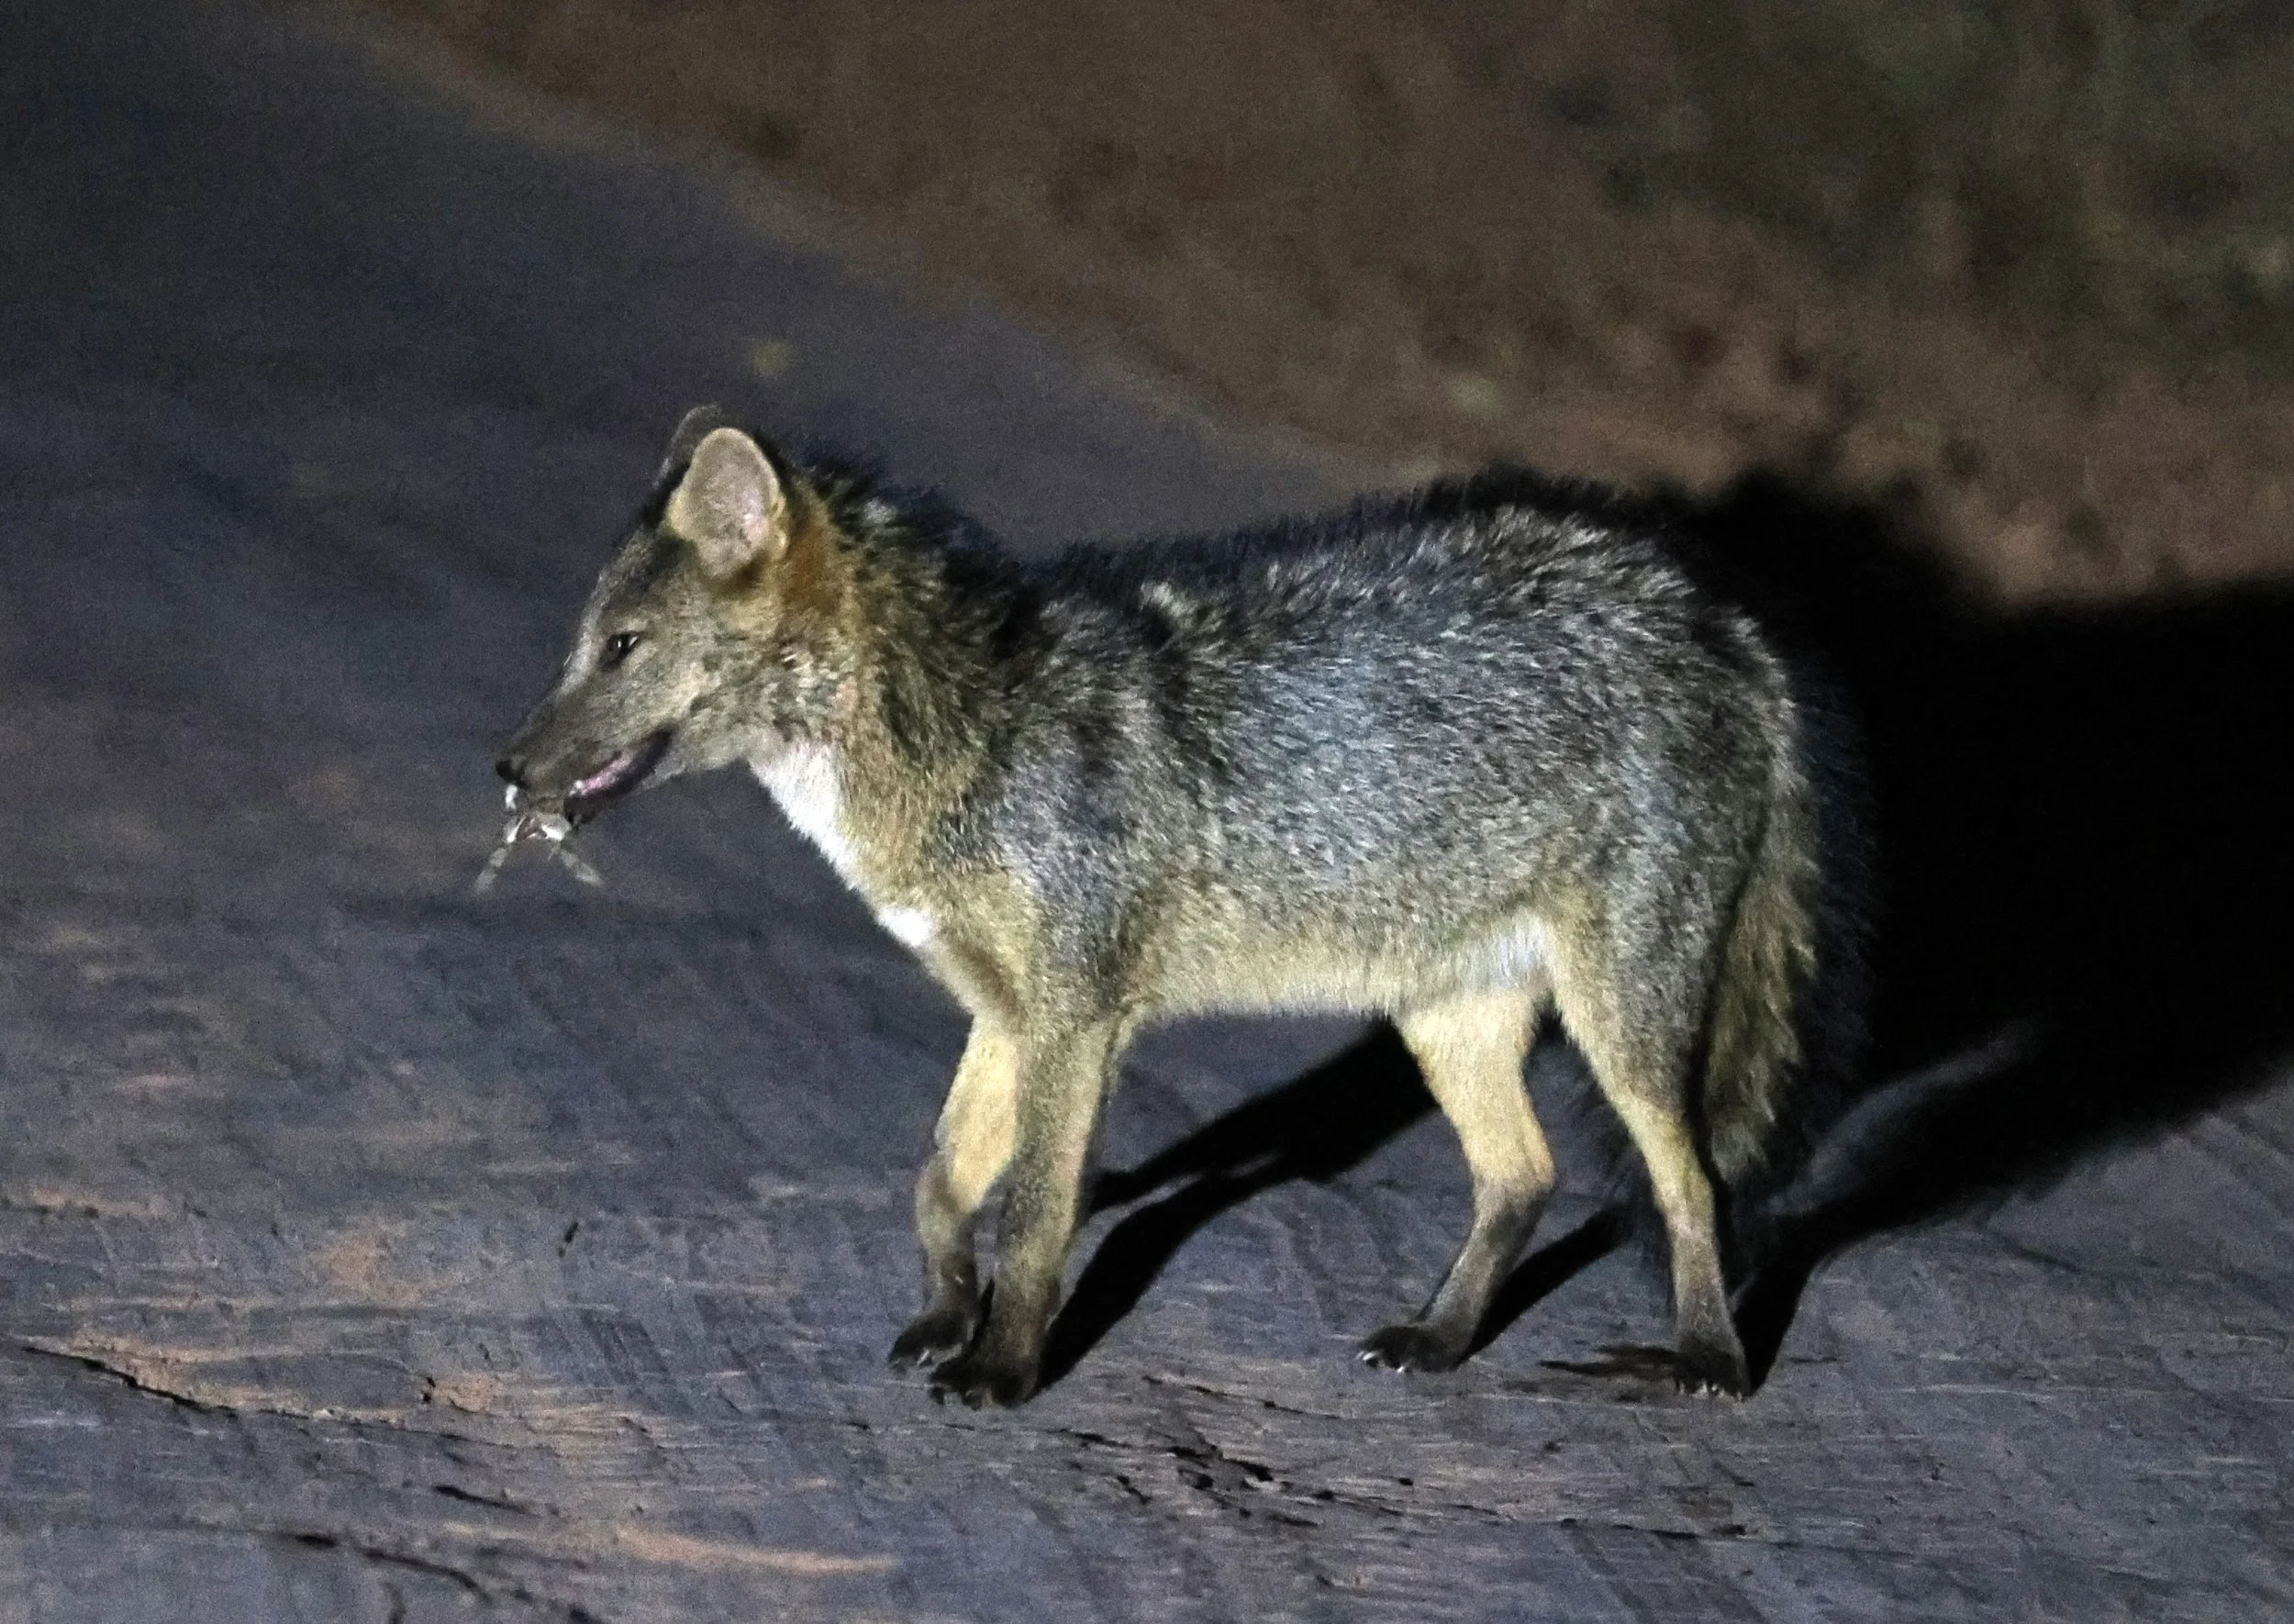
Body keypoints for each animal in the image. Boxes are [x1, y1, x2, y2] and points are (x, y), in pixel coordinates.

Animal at [495, 406, 1858, 1408]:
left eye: (620, 647)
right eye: (584, 643)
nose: (506, 769)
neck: (969, 735)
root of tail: (1725, 619)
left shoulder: (1079, 1021)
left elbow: (1037, 1214)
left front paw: (1000, 1369)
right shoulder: (1007, 1013)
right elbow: (938, 1181)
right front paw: (943, 1314)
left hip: (1620, 1029)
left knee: (1695, 1190)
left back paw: (1709, 1364)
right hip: (1444, 1020)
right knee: (1522, 1177)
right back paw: (1438, 1338)